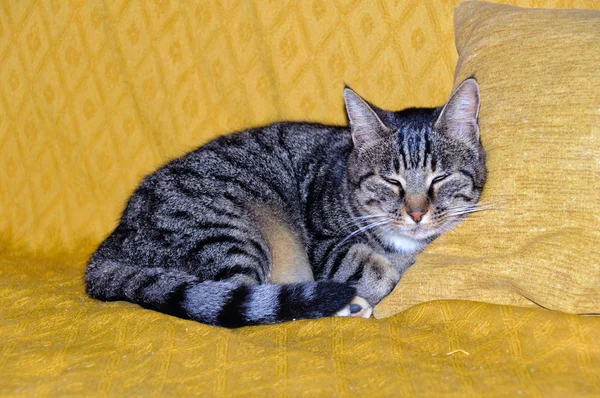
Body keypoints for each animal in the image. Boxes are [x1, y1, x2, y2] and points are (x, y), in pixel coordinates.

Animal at [85, 77, 488, 326]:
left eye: (440, 177)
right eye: (391, 180)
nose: (416, 213)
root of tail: (113, 242)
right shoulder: (326, 244)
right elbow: (377, 270)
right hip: (224, 231)